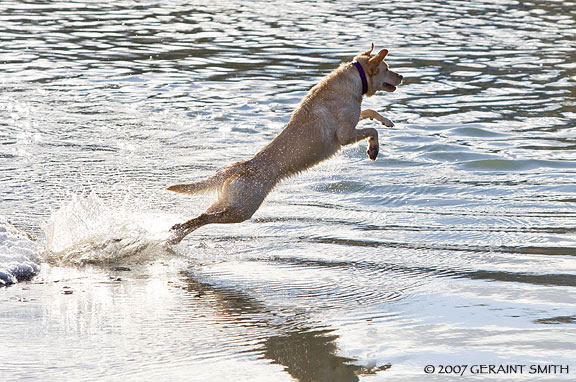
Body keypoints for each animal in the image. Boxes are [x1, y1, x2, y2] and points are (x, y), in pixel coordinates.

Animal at [165, 43, 400, 243]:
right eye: (388, 68)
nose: (402, 76)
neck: (355, 80)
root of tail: (239, 167)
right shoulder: (345, 135)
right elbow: (371, 129)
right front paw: (373, 149)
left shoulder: (354, 120)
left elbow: (369, 111)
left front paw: (387, 121)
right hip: (242, 209)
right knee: (203, 218)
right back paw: (176, 232)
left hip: (227, 202)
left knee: (201, 216)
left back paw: (175, 235)